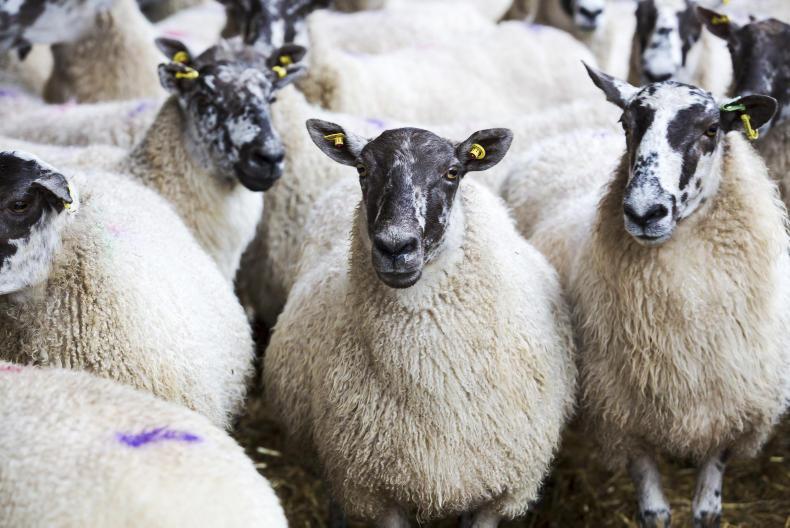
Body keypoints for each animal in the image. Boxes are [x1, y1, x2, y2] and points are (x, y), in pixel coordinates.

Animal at [264, 121, 576, 526]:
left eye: (452, 172)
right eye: (362, 169)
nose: (395, 247)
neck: (434, 384)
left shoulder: (498, 492)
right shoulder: (377, 491)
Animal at [547, 66, 788, 527]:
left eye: (712, 129)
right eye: (626, 124)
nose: (644, 212)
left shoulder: (728, 406)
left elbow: (707, 509)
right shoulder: (624, 415)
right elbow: (655, 512)